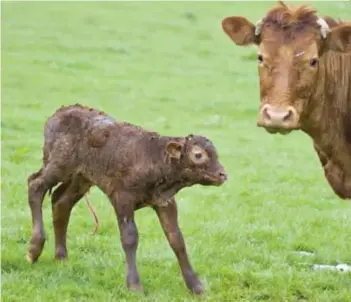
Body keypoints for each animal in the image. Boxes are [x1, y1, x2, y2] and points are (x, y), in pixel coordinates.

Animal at [27, 104, 230, 294]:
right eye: (198, 154)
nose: (223, 174)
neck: (154, 158)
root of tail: (61, 111)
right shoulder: (122, 198)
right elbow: (130, 237)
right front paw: (134, 286)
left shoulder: (165, 201)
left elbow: (176, 239)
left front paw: (196, 287)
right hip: (58, 165)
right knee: (35, 185)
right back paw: (34, 249)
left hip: (81, 177)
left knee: (61, 202)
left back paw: (61, 257)